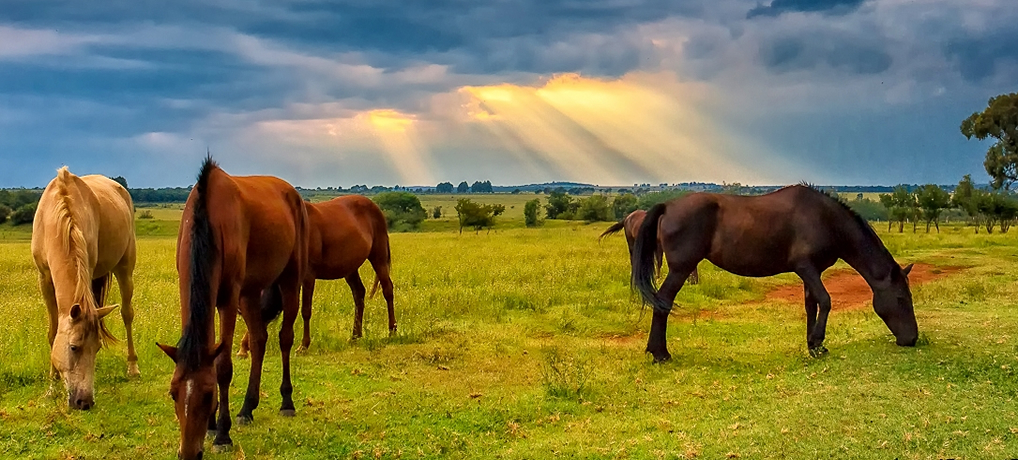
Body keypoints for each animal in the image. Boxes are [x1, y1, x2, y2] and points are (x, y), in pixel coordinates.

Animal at [29, 167, 138, 409]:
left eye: (97, 347)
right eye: (73, 347)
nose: (84, 402)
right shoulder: (44, 278)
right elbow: (53, 332)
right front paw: (52, 387)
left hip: (125, 267)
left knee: (127, 314)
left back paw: (133, 367)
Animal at [154, 156, 305, 457]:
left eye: (208, 394)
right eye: (173, 393)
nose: (189, 454)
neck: (209, 221)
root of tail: (290, 192)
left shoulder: (227, 299)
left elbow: (223, 367)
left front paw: (222, 434)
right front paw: (213, 427)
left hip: (289, 280)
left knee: (284, 338)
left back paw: (287, 402)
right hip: (250, 293)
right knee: (259, 339)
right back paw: (247, 408)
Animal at [236, 194, 394, 356]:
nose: (246, 346)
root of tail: (374, 207)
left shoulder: (308, 277)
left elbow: (305, 311)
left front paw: (303, 345)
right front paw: (243, 348)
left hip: (379, 258)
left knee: (387, 290)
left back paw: (392, 330)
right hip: (350, 268)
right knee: (359, 294)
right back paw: (355, 335)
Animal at [631, 184, 920, 362]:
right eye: (901, 299)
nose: (913, 339)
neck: (826, 220)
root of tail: (667, 206)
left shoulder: (810, 273)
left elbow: (812, 305)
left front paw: (813, 345)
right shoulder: (806, 268)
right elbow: (826, 301)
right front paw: (817, 341)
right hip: (681, 269)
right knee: (663, 302)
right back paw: (660, 353)